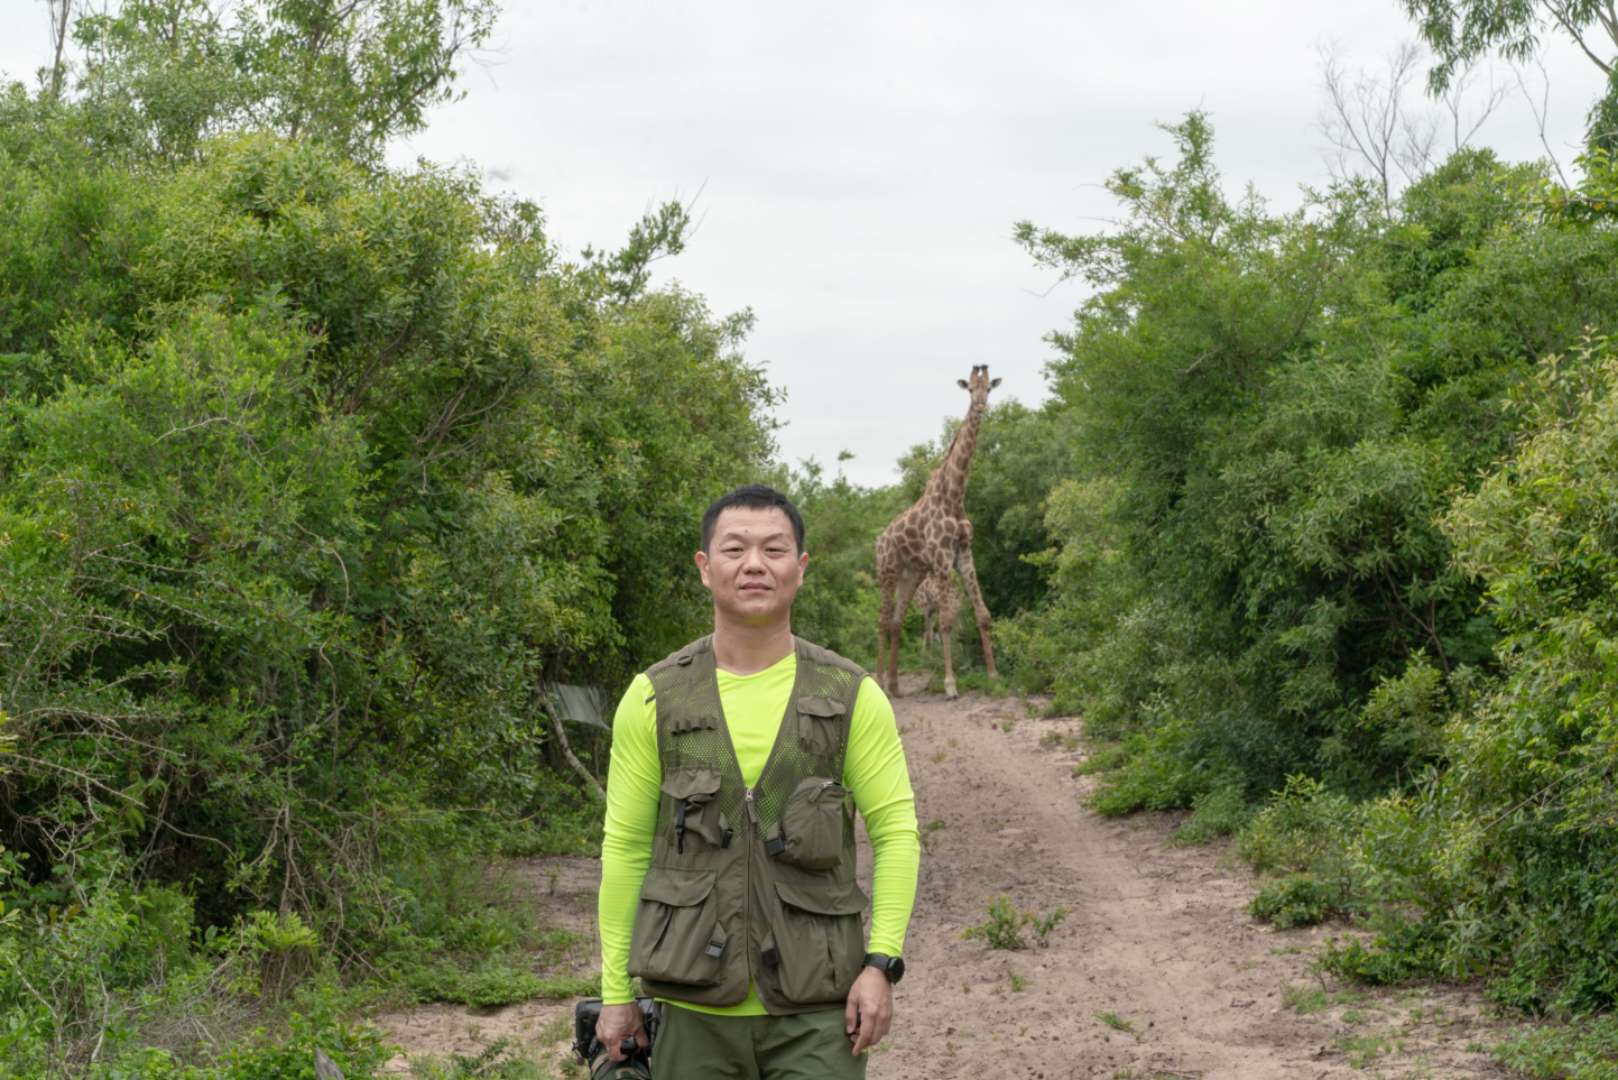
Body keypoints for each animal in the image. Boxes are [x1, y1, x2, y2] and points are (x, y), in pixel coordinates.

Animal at [873, 365, 996, 702]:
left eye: (989, 389)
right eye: (970, 389)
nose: (981, 407)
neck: (954, 496)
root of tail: (879, 540)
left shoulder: (964, 553)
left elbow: (982, 613)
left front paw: (994, 675)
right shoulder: (941, 559)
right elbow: (946, 622)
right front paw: (951, 685)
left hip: (910, 575)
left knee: (897, 621)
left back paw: (894, 685)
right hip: (887, 571)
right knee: (883, 621)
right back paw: (879, 683)